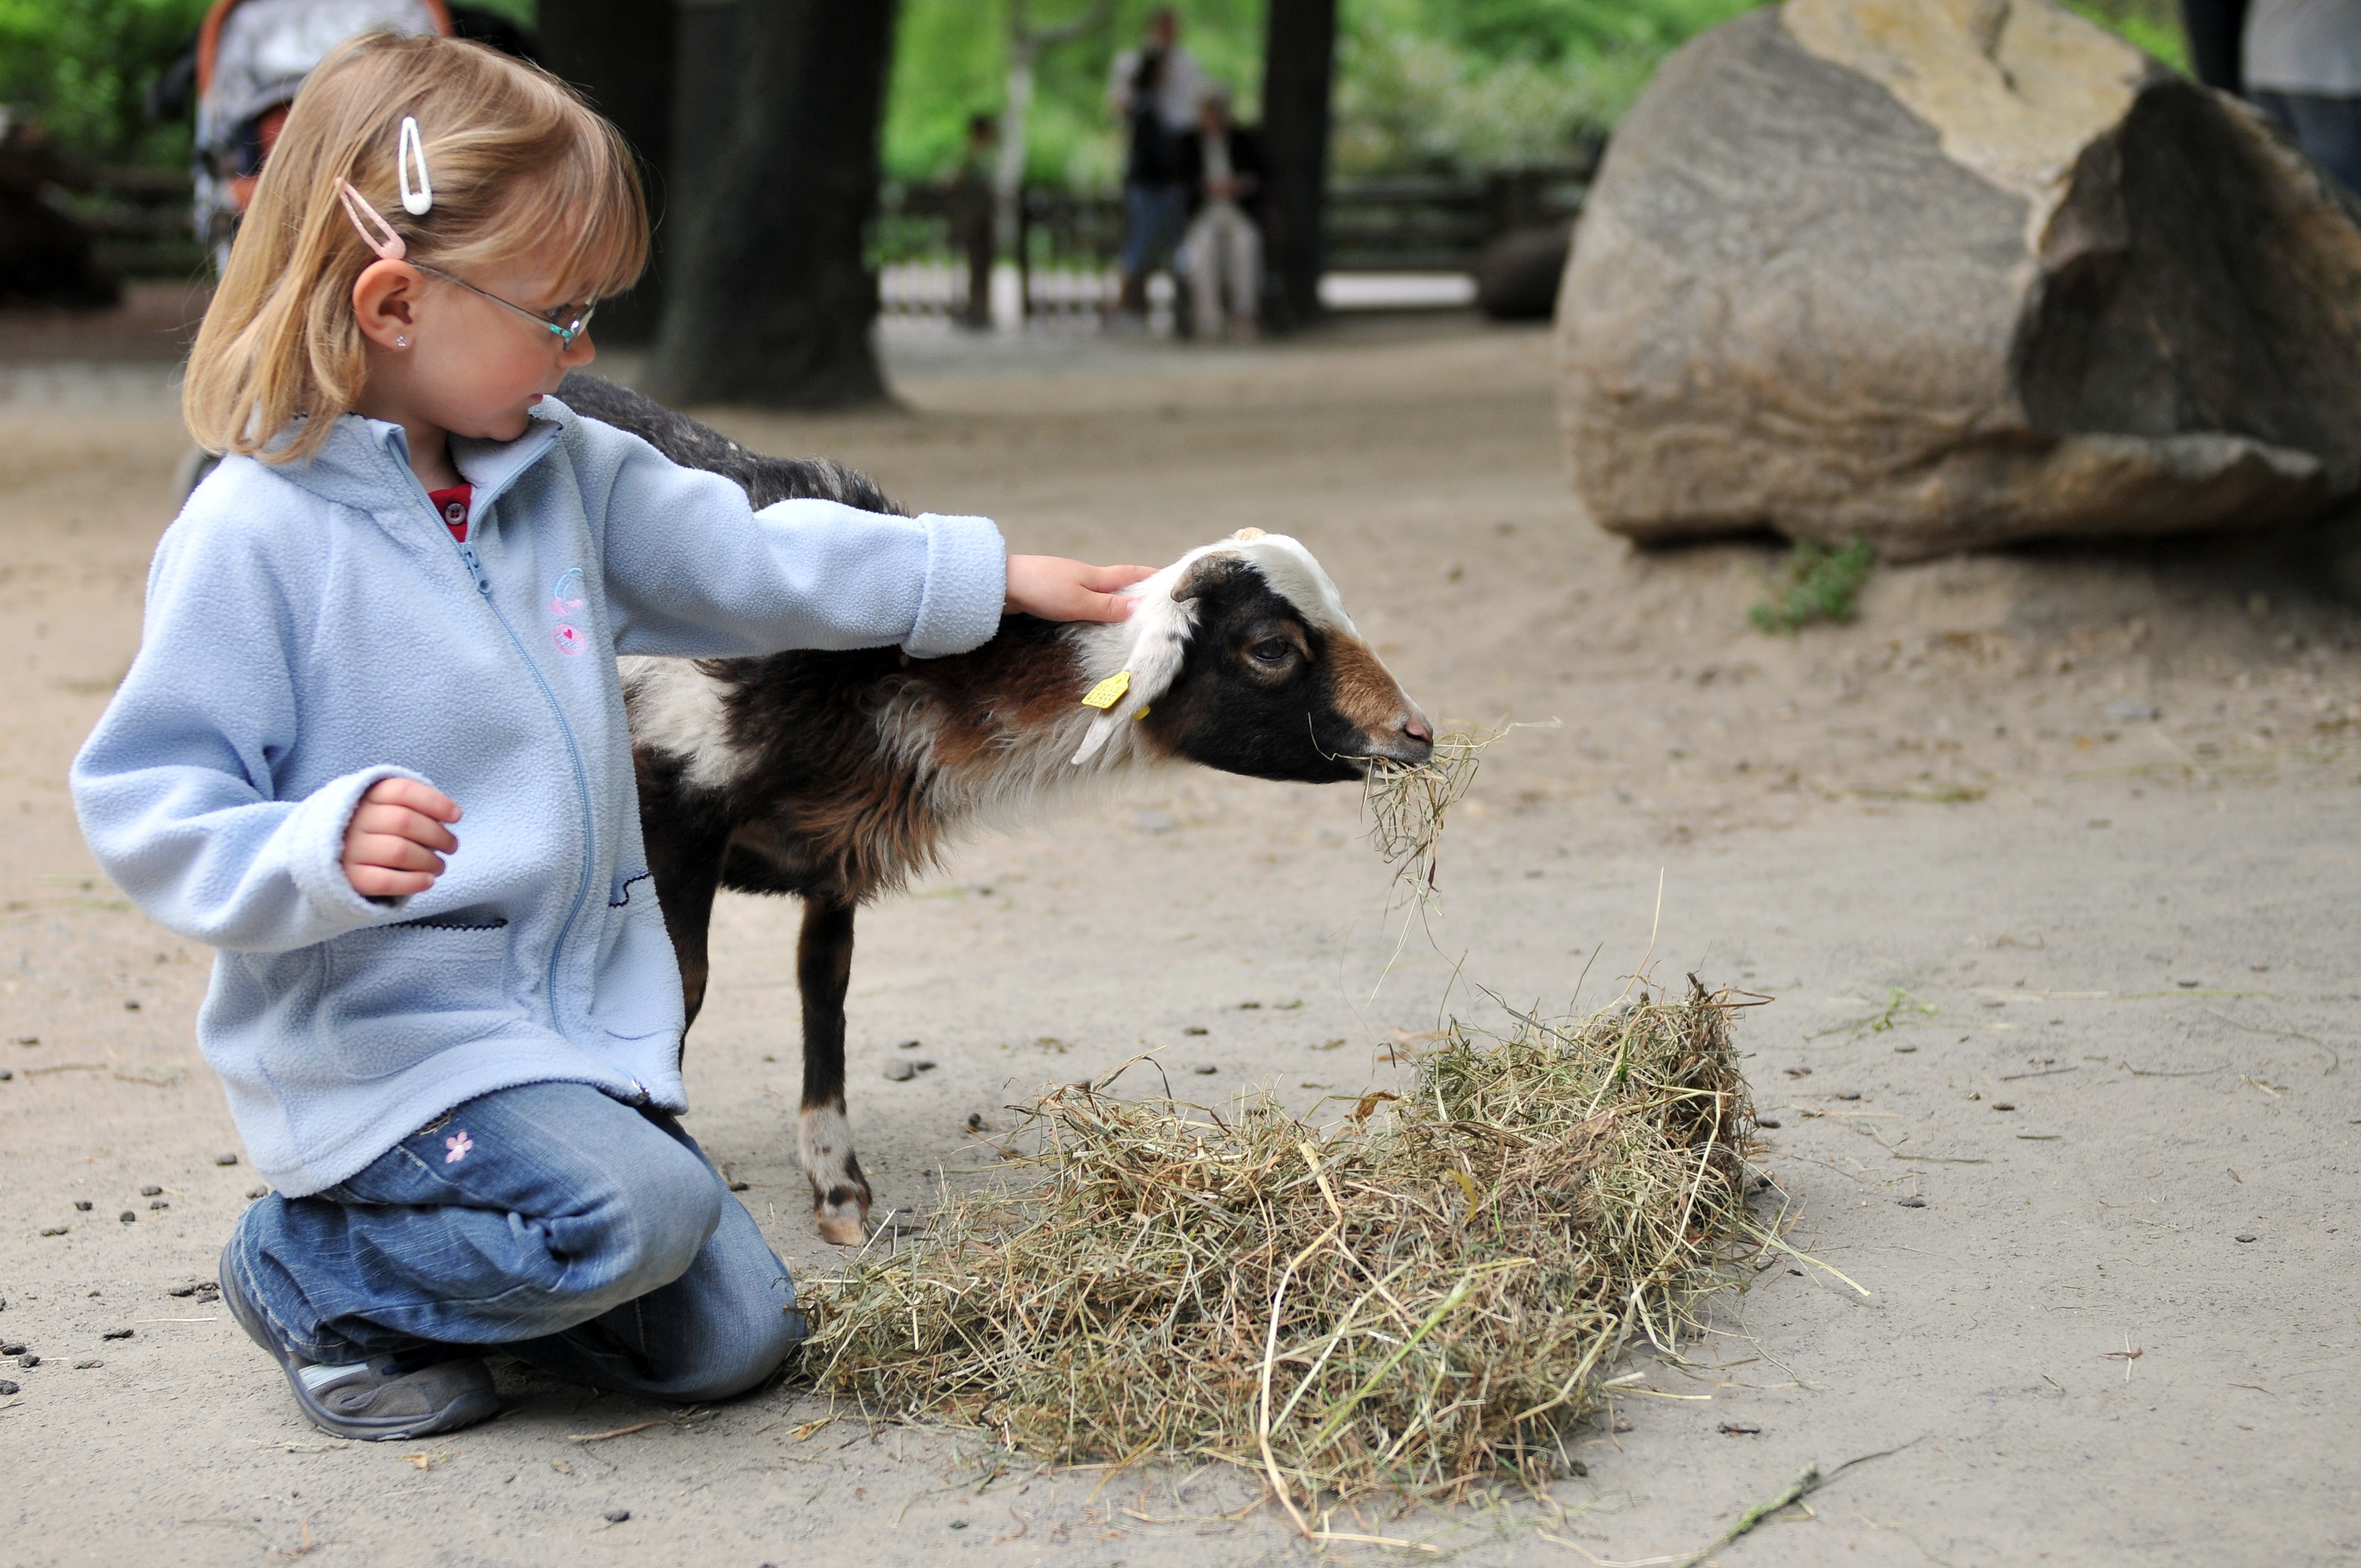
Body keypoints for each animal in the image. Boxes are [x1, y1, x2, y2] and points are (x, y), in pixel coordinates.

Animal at [562, 373, 1426, 1246]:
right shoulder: (681, 811)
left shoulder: (835, 844)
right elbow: (685, 990)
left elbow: (824, 984)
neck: (861, 669)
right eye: (1271, 648)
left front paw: (838, 1187)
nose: (1416, 733)